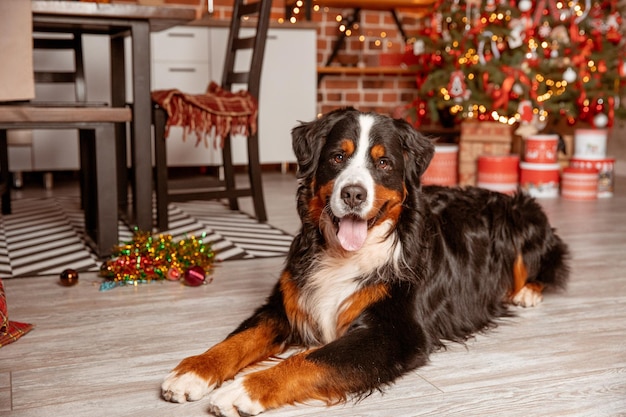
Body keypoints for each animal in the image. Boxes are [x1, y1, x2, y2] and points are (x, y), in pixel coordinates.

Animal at [160, 108, 564, 416]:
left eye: (383, 162)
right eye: (338, 157)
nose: (353, 194)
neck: (346, 255)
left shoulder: (395, 334)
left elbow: (314, 359)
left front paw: (242, 389)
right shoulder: (285, 303)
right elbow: (239, 339)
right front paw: (194, 371)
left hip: (520, 215)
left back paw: (527, 292)